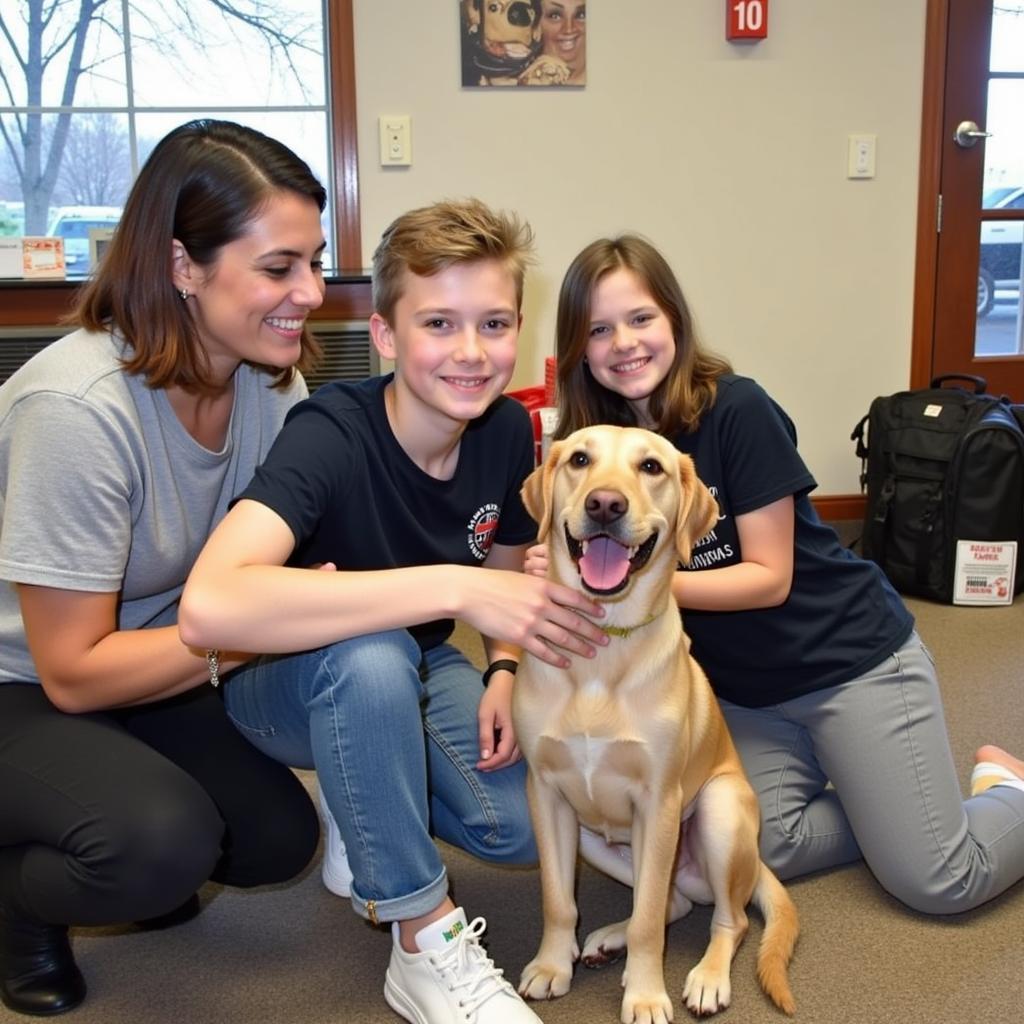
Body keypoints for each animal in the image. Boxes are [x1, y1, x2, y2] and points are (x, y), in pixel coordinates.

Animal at [512, 425, 798, 1024]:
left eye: (651, 467)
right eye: (579, 459)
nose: (605, 504)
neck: (603, 643)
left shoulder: (659, 802)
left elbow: (648, 921)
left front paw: (645, 994)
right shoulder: (545, 794)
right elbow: (558, 900)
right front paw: (552, 965)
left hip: (717, 811)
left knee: (727, 918)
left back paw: (707, 978)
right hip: (594, 839)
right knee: (675, 900)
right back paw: (606, 940)